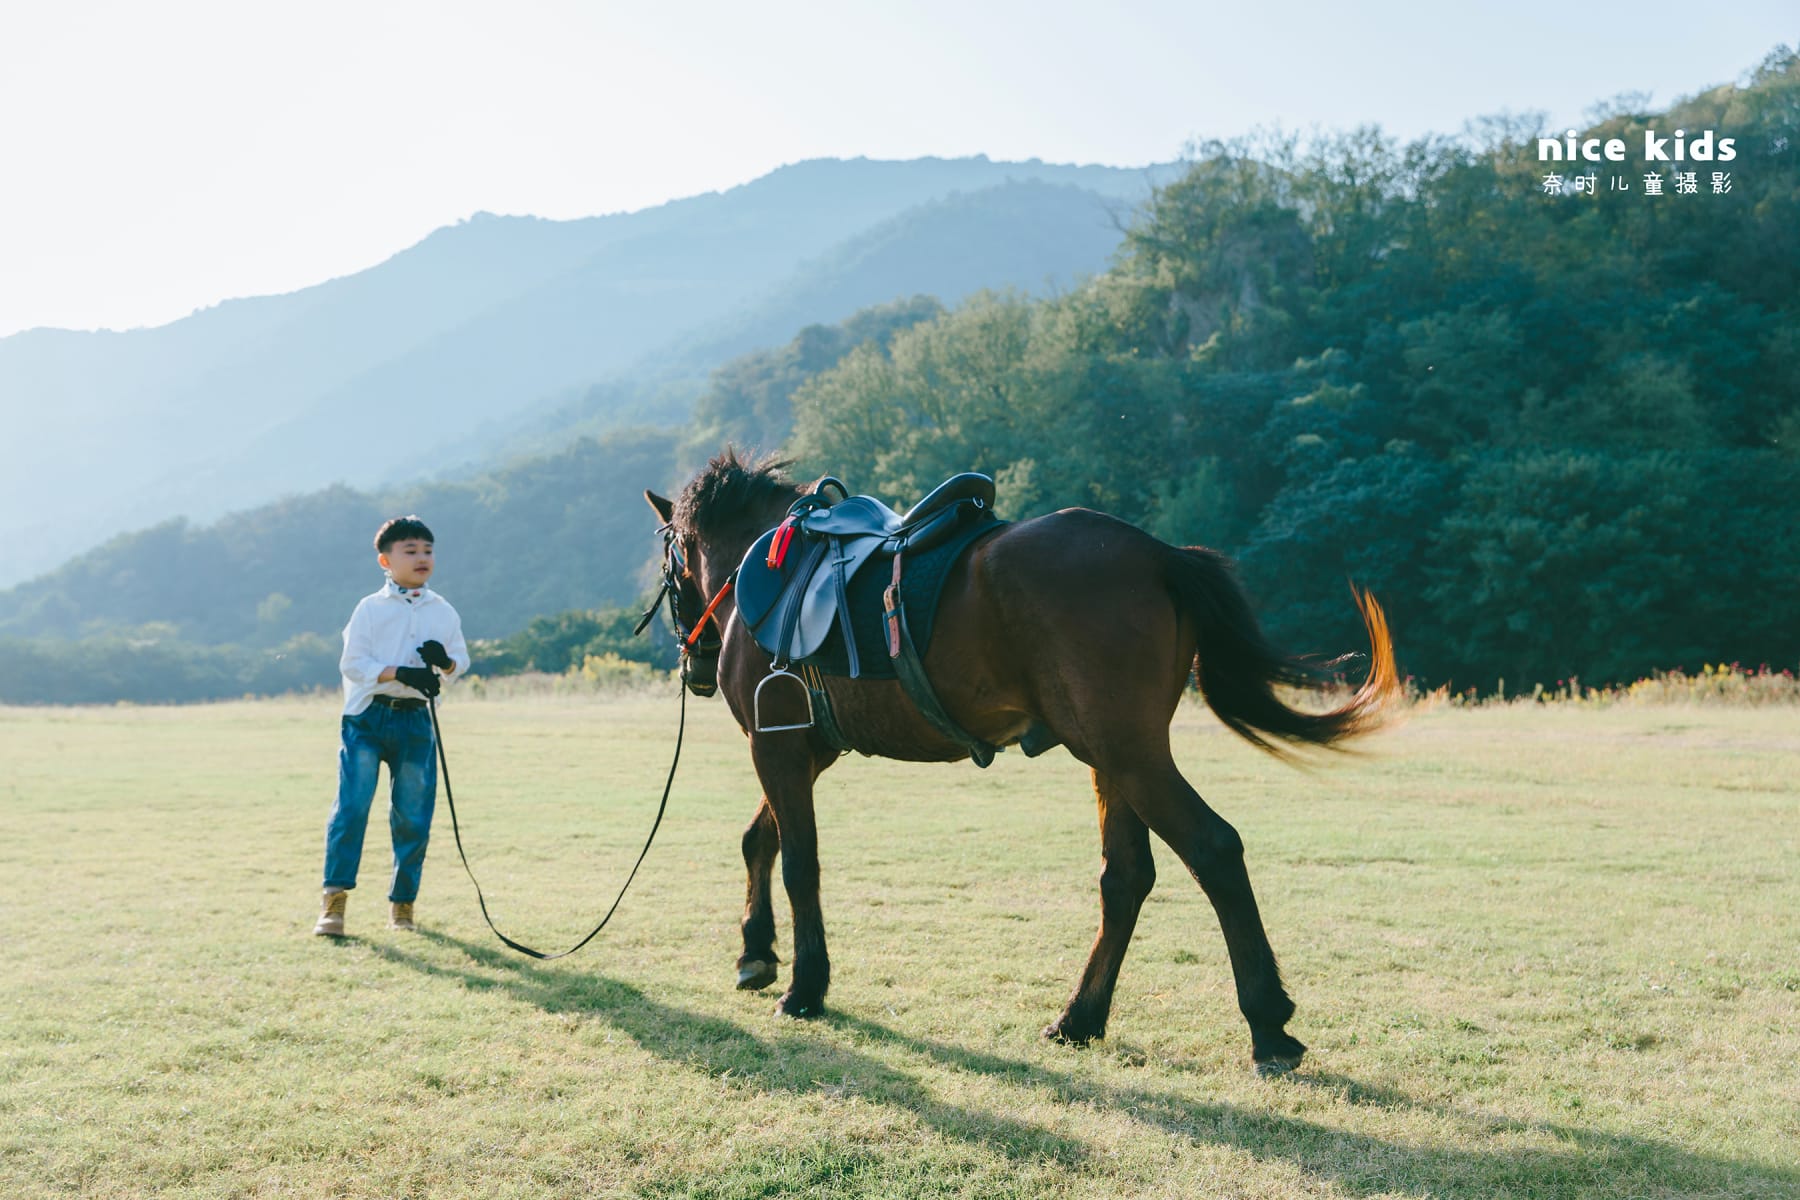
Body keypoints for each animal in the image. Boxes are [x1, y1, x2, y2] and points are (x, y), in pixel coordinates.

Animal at [644, 449, 1398, 1075]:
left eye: (671, 566)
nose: (694, 664)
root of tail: (1158, 553)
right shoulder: (805, 749)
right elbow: (761, 839)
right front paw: (755, 952)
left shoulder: (776, 745)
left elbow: (799, 861)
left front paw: (805, 986)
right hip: (1112, 757)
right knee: (1127, 877)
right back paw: (1081, 1018)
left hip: (1128, 753)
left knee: (1214, 848)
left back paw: (1268, 1026)